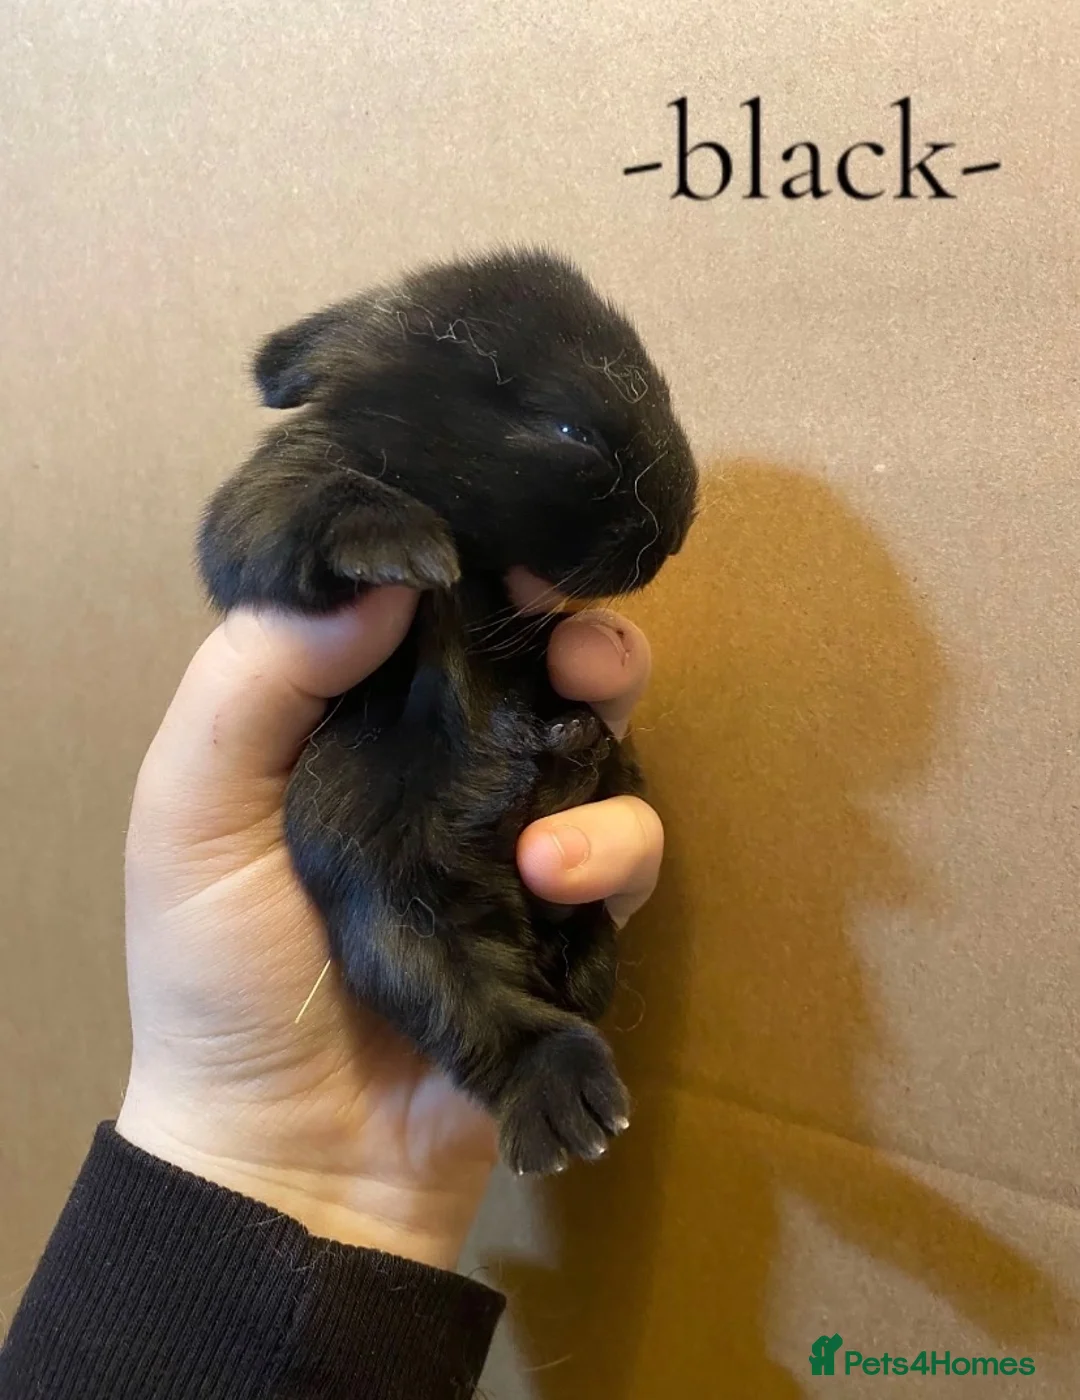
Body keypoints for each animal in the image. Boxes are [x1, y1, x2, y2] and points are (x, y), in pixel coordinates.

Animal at [197, 247, 698, 1174]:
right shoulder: (269, 498)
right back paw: (564, 1097)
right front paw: (408, 547)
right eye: (570, 433)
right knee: (470, 1008)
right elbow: (301, 507)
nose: (677, 529)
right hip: (388, 913)